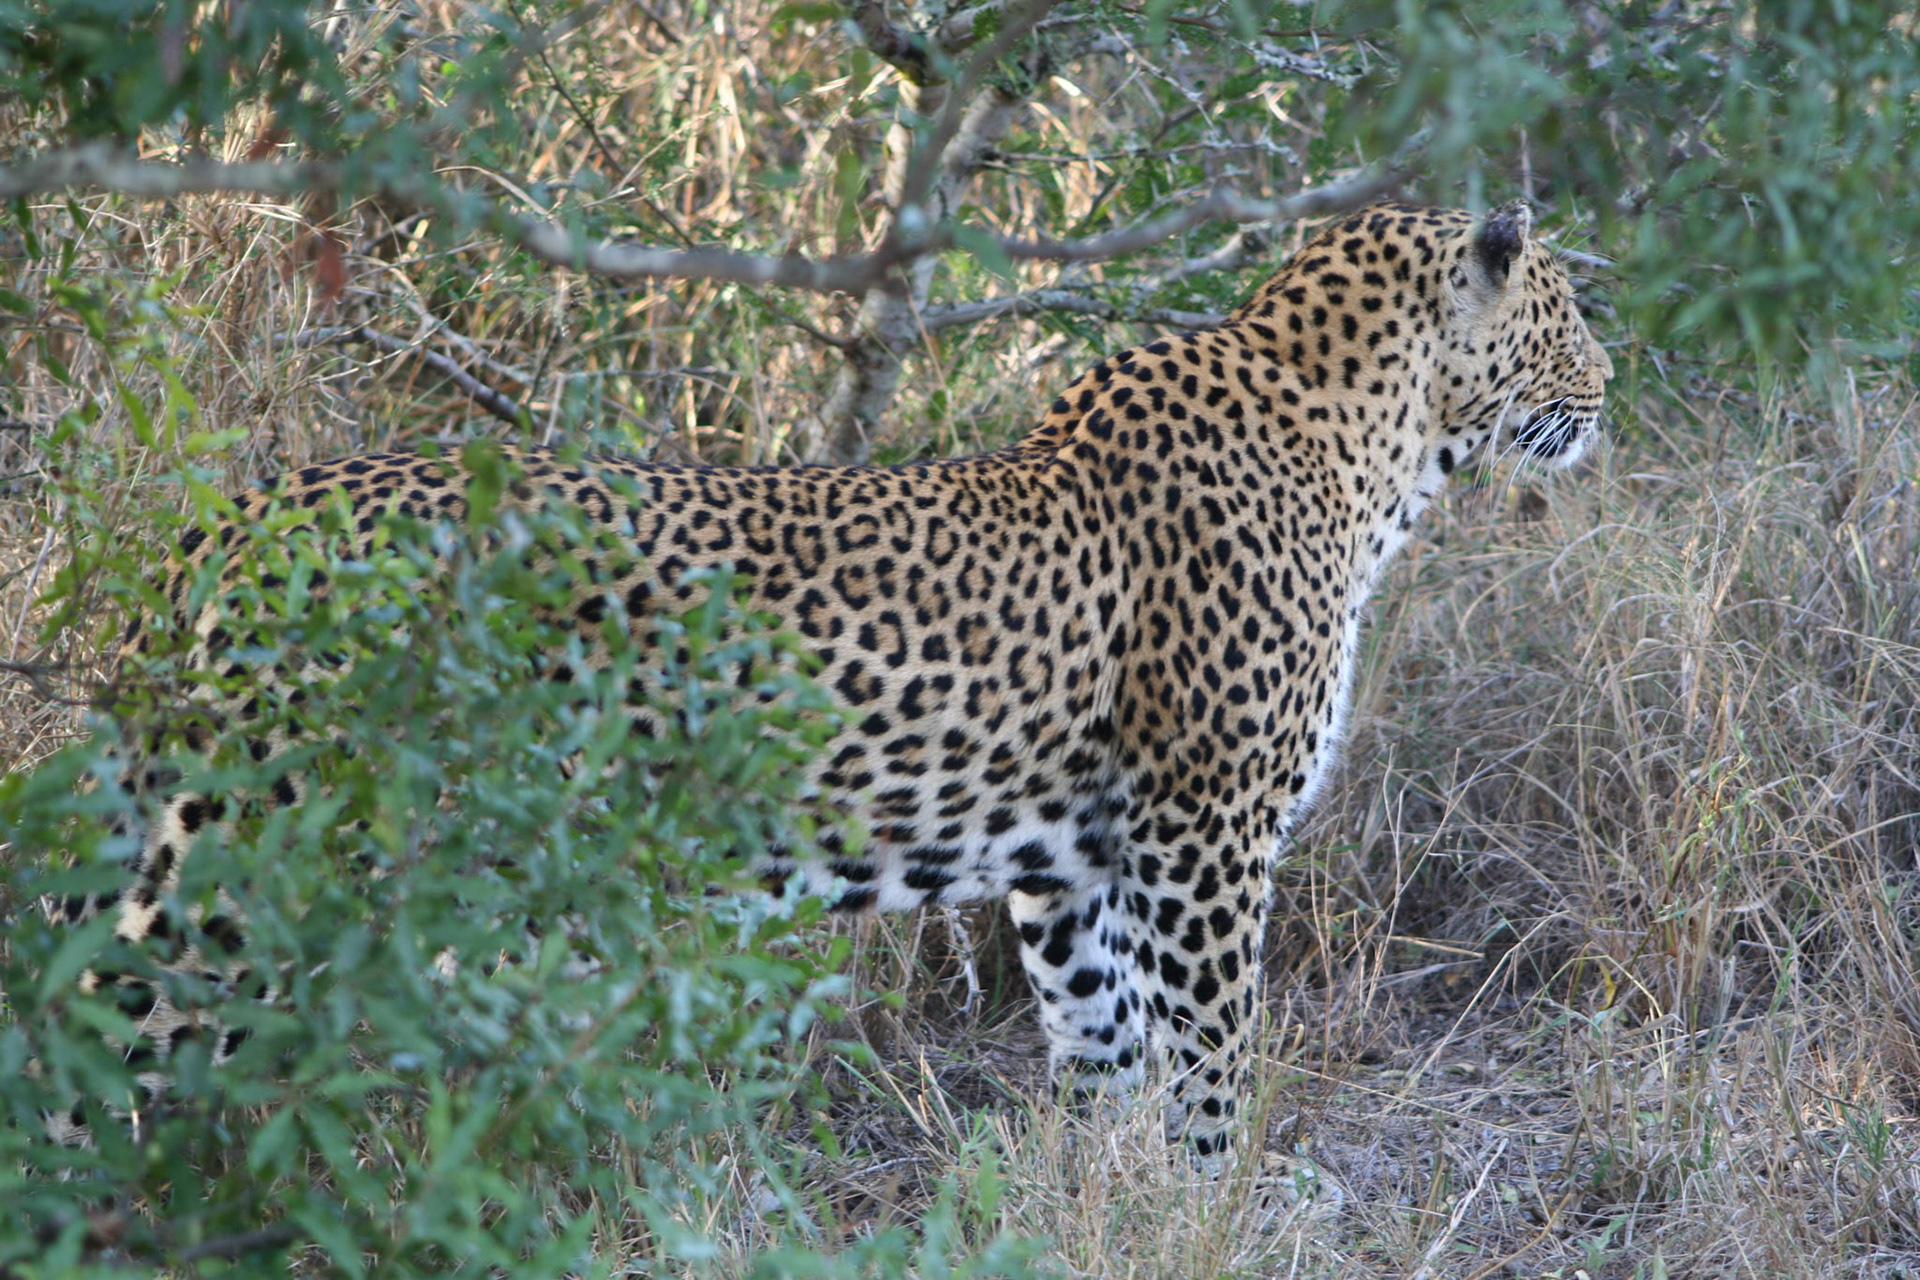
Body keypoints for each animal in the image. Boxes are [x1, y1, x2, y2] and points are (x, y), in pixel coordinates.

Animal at [57, 199, 1610, 1160]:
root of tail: (235, 520)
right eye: (1562, 308)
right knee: (103, 1035)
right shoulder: (1202, 836)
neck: (1377, 451)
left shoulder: (1077, 865)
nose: (1613, 379)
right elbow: (1214, 1061)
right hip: (257, 851)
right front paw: (1226, 1196)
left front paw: (1129, 1209)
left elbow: (1112, 1062)